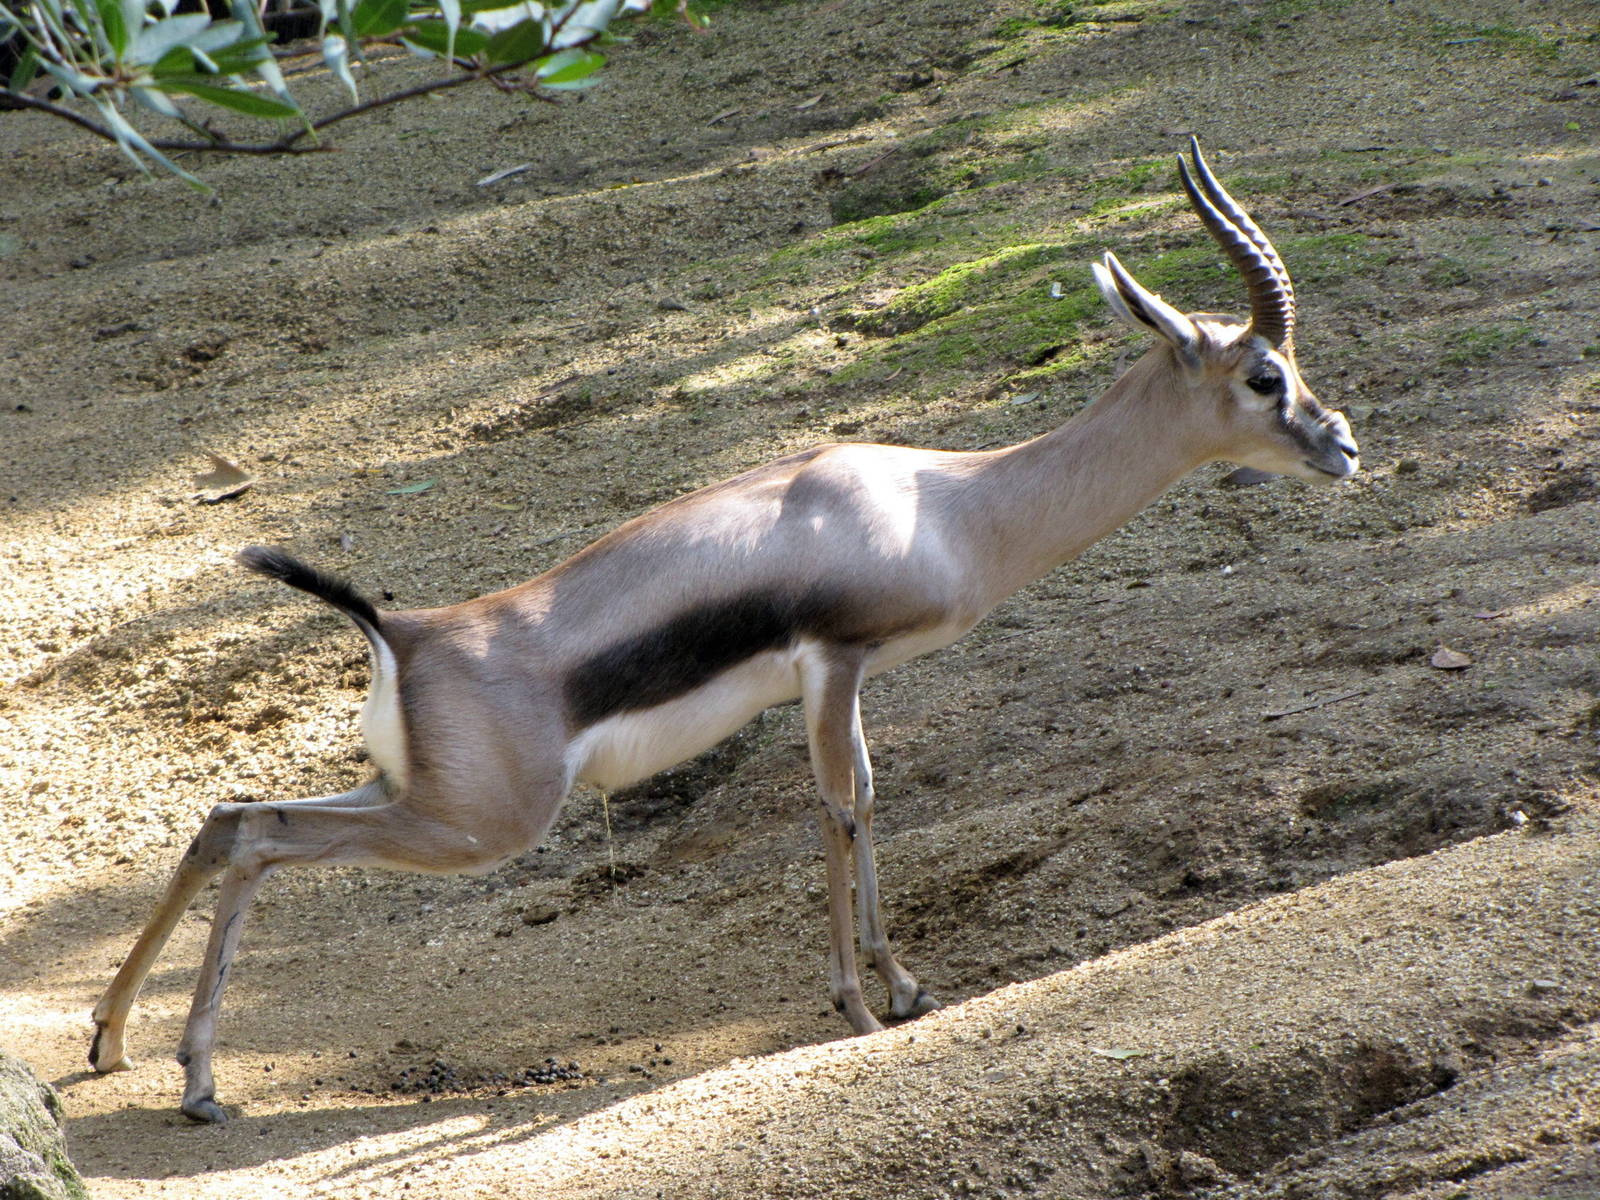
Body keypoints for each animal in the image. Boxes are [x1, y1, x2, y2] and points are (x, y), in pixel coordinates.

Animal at [89, 139, 1359, 1122]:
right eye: (1263, 374)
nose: (1341, 443)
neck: (946, 504)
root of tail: (405, 632)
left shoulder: (849, 679)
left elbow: (870, 800)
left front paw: (905, 988)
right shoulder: (833, 664)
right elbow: (840, 808)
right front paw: (858, 1004)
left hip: (412, 795)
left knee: (230, 817)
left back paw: (120, 1045)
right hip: (477, 827)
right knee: (264, 838)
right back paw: (195, 1083)